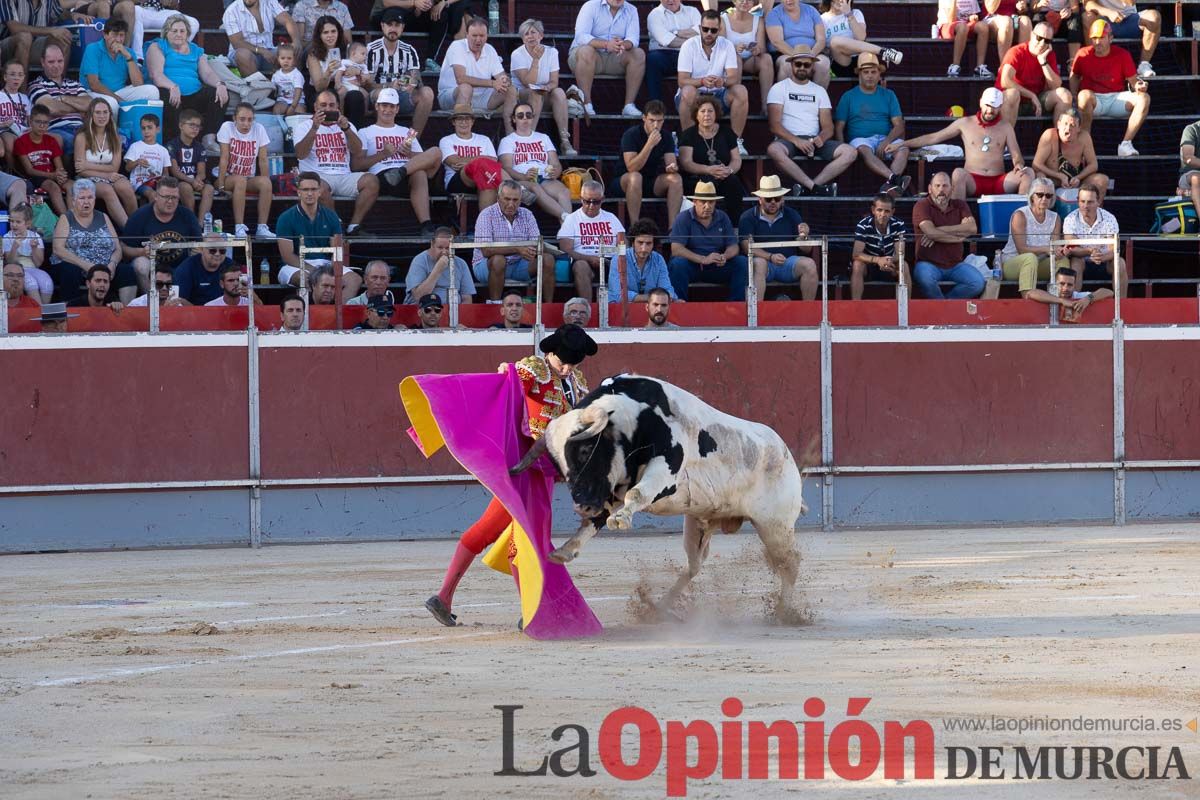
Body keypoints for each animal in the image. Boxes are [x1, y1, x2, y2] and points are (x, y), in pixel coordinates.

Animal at [508, 376, 806, 614]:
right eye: (558, 464)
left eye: (584, 450)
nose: (581, 505)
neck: (637, 417)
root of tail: (785, 453)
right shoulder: (609, 489)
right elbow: (596, 520)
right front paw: (566, 549)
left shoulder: (665, 470)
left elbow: (637, 494)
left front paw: (620, 520)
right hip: (700, 522)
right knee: (694, 565)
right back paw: (661, 607)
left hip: (775, 525)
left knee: (790, 562)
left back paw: (784, 612)